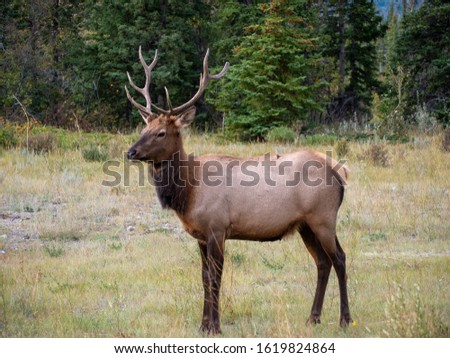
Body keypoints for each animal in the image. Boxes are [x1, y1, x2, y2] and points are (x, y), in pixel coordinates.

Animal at [125, 46, 352, 334]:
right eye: (145, 127)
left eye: (162, 132)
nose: (131, 152)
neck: (188, 193)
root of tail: (339, 174)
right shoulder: (201, 235)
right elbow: (204, 277)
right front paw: (203, 325)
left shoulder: (217, 228)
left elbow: (216, 278)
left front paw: (215, 326)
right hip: (305, 225)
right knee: (322, 262)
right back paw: (313, 317)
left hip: (324, 217)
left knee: (340, 259)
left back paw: (345, 319)